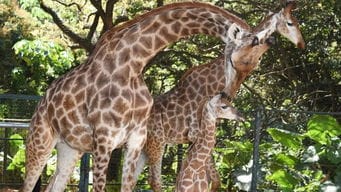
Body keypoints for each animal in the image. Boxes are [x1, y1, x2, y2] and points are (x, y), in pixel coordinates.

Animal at [21, 1, 268, 192]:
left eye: (257, 63)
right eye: (243, 59)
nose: (227, 95)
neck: (132, 65)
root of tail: (41, 102)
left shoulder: (136, 139)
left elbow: (128, 186)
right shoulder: (104, 139)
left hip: (70, 149)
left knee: (54, 185)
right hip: (40, 142)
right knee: (28, 183)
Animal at [134, 0, 304, 191]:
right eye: (290, 23)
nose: (302, 44)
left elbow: (214, 180)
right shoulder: (195, 133)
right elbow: (208, 176)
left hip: (144, 147)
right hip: (157, 142)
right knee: (154, 180)